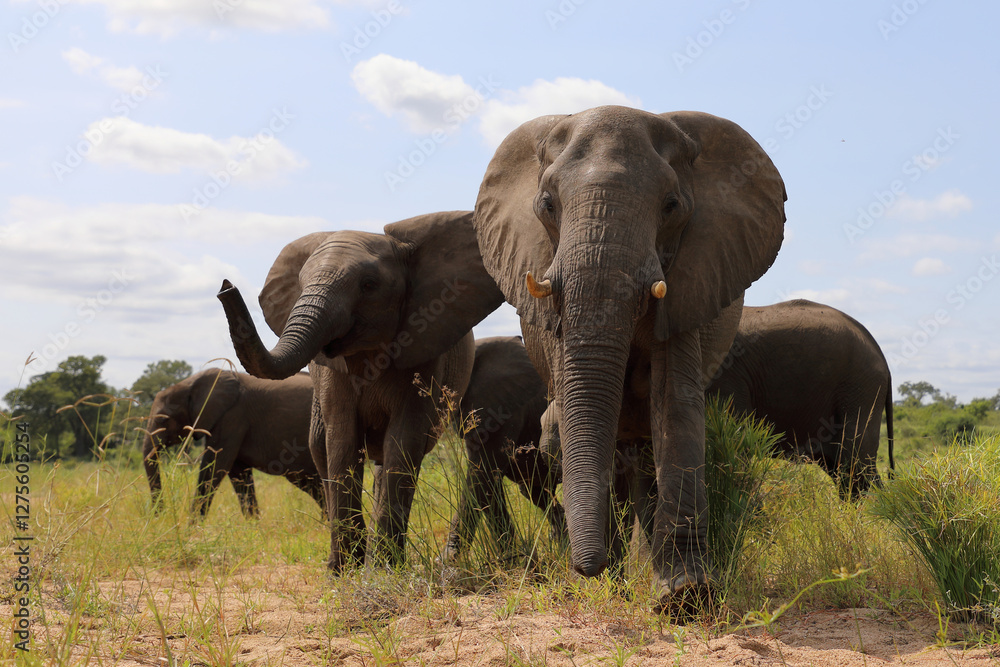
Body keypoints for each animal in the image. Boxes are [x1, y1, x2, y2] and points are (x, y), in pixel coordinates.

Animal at [141, 369, 323, 517]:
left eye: (163, 420)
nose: (160, 515)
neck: (190, 383)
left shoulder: (232, 417)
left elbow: (214, 468)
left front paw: (191, 532)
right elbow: (239, 476)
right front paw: (253, 529)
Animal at [217, 210, 504, 572]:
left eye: (368, 286)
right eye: (301, 284)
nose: (225, 286)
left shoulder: (426, 349)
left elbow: (404, 441)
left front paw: (384, 569)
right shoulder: (333, 375)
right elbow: (342, 438)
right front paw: (344, 570)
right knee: (320, 445)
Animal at [442, 336, 564, 564]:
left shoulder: (505, 409)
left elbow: (482, 477)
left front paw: (447, 561)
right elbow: (488, 484)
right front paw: (511, 558)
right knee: (535, 492)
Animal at [472, 106, 786, 610]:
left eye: (672, 206)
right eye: (547, 205)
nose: (587, 567)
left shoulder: (689, 283)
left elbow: (676, 404)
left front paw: (685, 597)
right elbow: (576, 411)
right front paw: (611, 583)